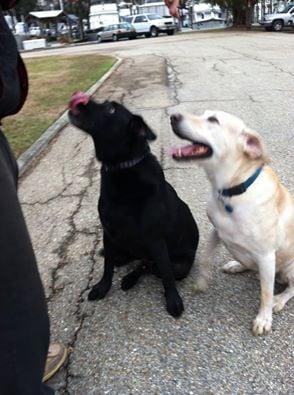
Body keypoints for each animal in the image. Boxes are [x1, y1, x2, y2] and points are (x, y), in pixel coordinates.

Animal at [68, 91, 199, 318]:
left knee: (152, 267)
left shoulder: (156, 239)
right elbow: (107, 265)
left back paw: (131, 278)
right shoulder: (108, 233)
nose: (79, 98)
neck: (122, 167)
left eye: (111, 109)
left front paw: (173, 299)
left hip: (179, 265)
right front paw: (103, 287)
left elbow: (166, 274)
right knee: (136, 262)